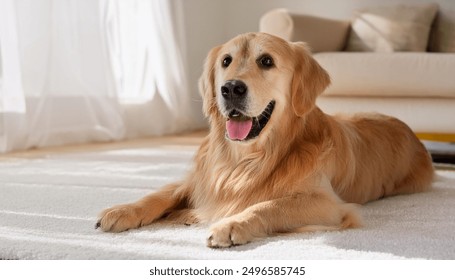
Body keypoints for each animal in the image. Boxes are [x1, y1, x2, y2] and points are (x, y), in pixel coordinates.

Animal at [97, 32, 434, 247]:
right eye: (226, 61)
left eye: (267, 61)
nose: (231, 88)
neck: (245, 159)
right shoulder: (200, 180)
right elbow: (159, 194)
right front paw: (122, 211)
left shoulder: (329, 204)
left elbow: (269, 205)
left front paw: (231, 224)